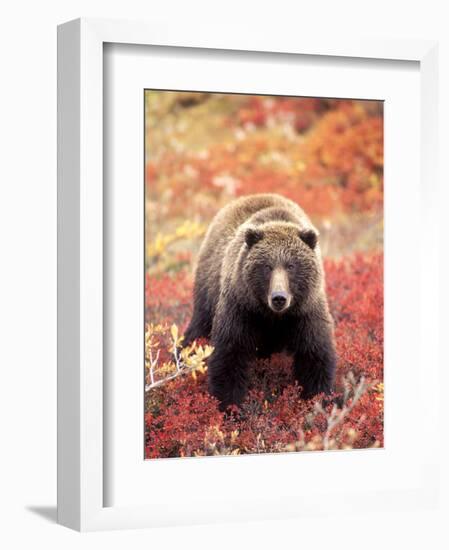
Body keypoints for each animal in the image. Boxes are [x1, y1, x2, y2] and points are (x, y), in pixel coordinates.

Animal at [183, 193, 336, 410]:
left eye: (291, 265)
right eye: (267, 266)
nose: (279, 298)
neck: (273, 316)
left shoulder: (306, 312)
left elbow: (314, 356)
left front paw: (318, 401)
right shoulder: (241, 308)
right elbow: (229, 355)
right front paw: (230, 406)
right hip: (208, 290)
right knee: (198, 328)